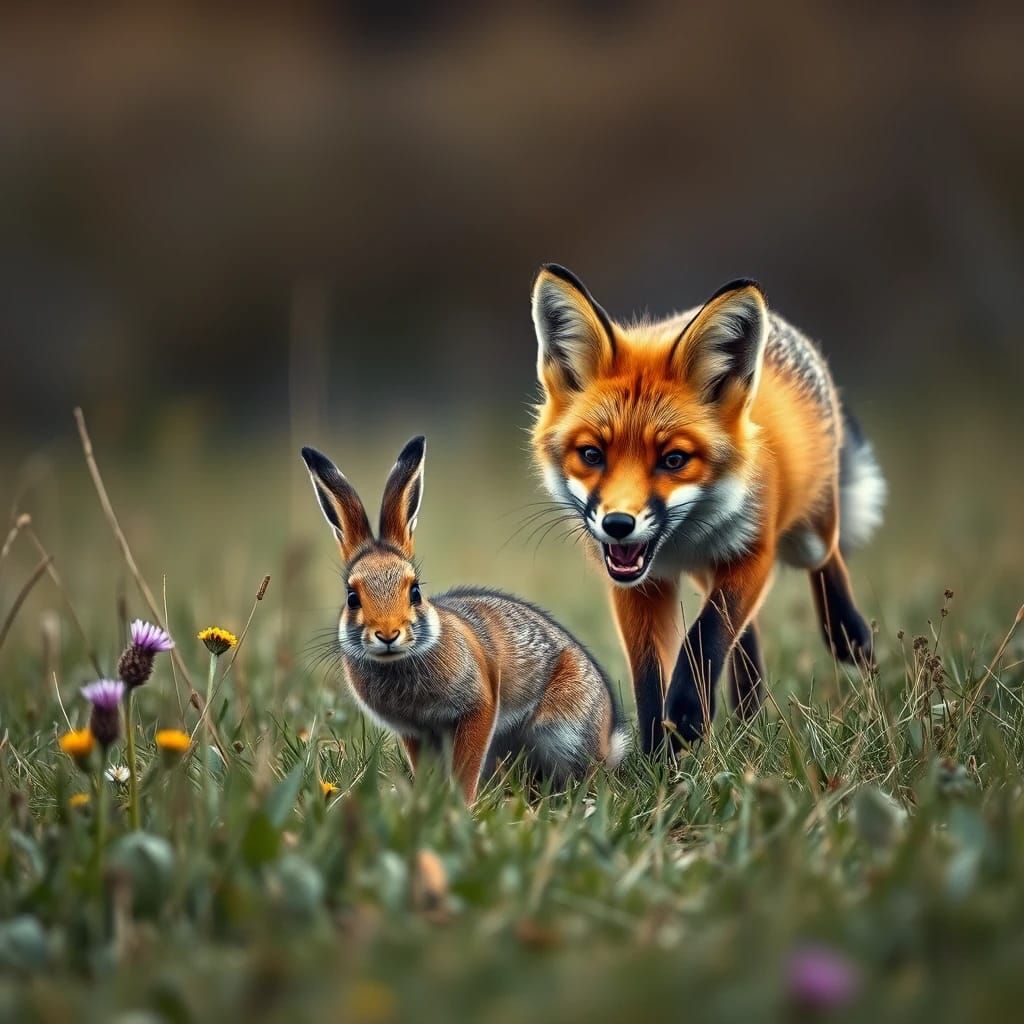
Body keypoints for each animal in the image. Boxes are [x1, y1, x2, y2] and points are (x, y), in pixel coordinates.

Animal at [301, 436, 629, 802]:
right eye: (352, 597)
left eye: (415, 591)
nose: (387, 634)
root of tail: (608, 742)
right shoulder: (416, 731)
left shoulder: (478, 708)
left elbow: (467, 764)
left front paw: (461, 804)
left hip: (561, 731)